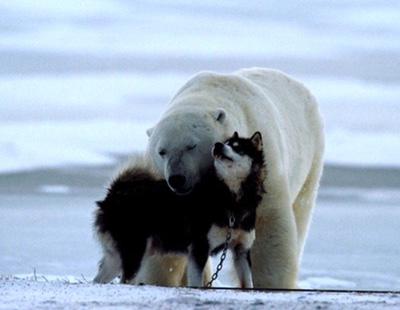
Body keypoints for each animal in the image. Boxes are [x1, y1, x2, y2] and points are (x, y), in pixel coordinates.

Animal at [94, 131, 266, 288]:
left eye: (237, 147)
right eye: (226, 143)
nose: (217, 145)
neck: (230, 198)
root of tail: (114, 193)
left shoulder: (241, 250)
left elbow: (248, 284)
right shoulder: (199, 248)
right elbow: (196, 283)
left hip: (116, 258)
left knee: (99, 279)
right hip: (134, 252)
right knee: (125, 280)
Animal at [141, 68, 324, 288]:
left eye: (191, 145)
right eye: (162, 151)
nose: (177, 178)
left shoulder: (263, 170)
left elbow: (269, 227)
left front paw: (272, 284)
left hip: (311, 155)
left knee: (301, 210)